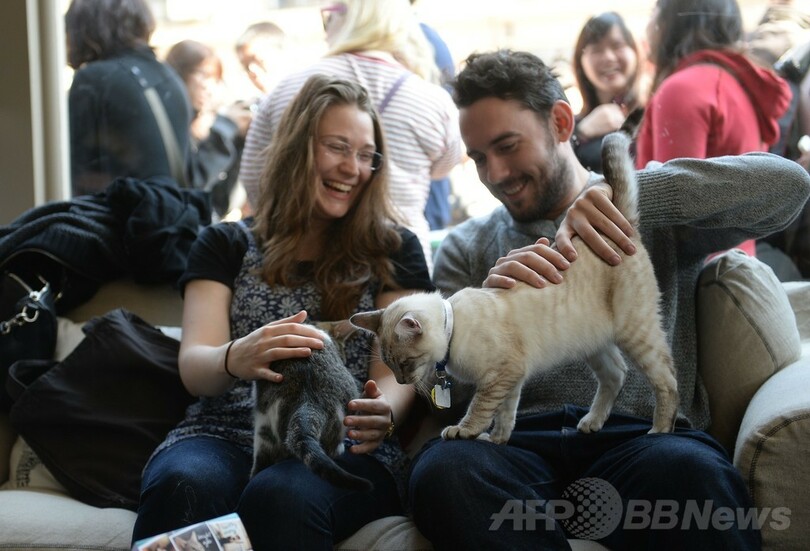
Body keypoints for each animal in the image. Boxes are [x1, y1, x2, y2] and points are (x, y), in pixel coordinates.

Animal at [348, 133, 676, 444]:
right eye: (390, 366)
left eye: (406, 362)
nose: (401, 382)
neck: (454, 329)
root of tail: (623, 223)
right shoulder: (512, 378)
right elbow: (505, 415)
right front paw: (496, 440)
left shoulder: (499, 375)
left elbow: (480, 409)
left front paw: (464, 431)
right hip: (593, 342)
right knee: (616, 375)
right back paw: (591, 423)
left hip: (635, 332)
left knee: (668, 380)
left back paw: (659, 430)